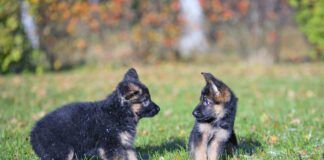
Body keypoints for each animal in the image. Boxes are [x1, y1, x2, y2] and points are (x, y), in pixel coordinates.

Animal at [31, 68, 160, 160]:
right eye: (145, 100)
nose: (159, 109)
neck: (119, 112)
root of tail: (33, 132)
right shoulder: (111, 145)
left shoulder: (125, 144)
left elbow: (132, 156)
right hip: (62, 150)